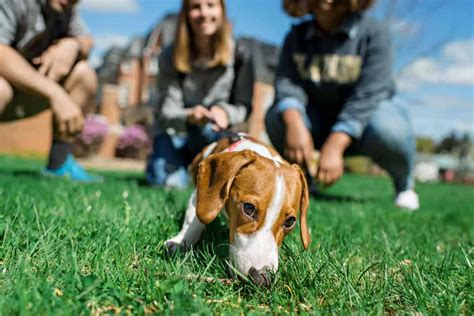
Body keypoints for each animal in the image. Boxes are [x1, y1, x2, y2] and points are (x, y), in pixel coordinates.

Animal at [165, 133, 310, 286]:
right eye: (248, 208)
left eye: (290, 222)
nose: (262, 278)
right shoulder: (197, 196)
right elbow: (193, 219)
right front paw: (180, 242)